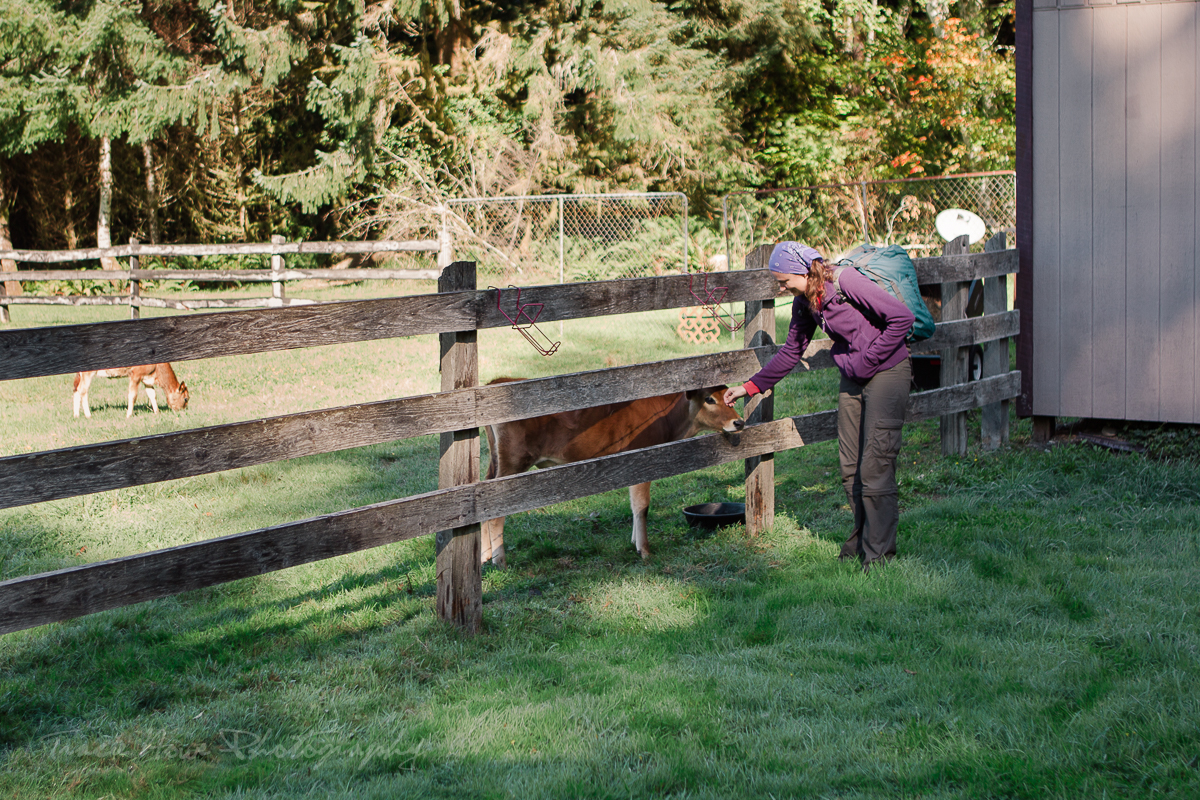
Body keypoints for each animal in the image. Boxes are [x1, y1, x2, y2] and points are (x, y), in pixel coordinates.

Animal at [477, 379, 739, 566]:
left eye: (728, 397)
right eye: (709, 399)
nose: (738, 422)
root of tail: (496, 381)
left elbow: (634, 505)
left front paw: (634, 541)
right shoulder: (641, 462)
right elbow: (642, 506)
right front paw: (644, 550)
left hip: (496, 463)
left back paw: (484, 556)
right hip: (513, 463)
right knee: (497, 511)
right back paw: (500, 561)